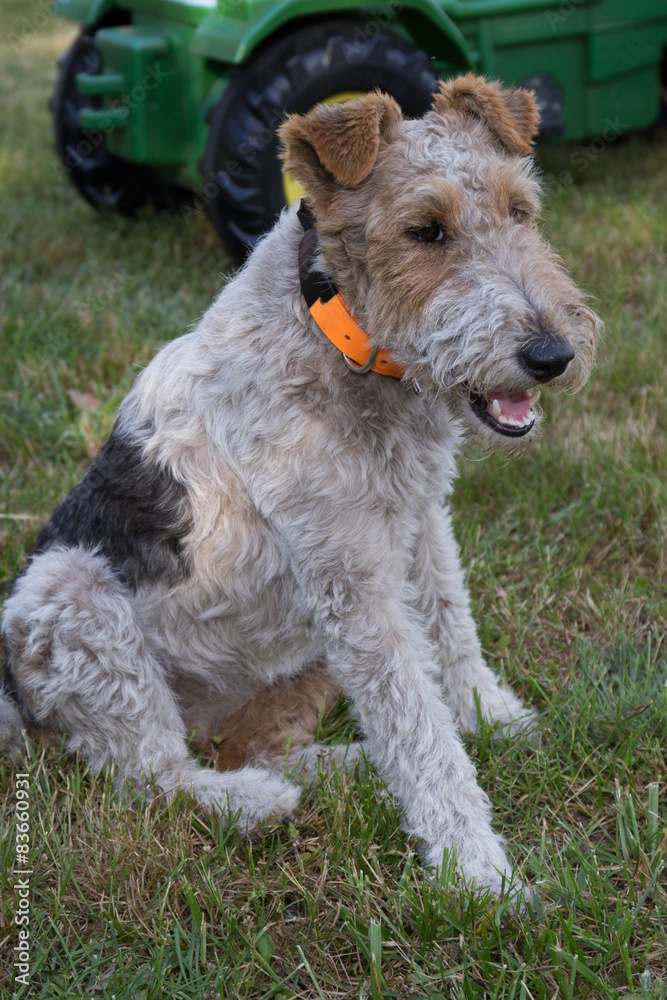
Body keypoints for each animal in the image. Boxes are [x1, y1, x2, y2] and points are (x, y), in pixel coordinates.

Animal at [1, 74, 600, 896]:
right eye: (425, 230)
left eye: (520, 210)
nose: (551, 354)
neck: (338, 332)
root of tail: (15, 703)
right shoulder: (354, 584)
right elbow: (419, 731)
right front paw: (479, 875)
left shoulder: (418, 523)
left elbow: (453, 630)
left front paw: (493, 719)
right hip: (74, 601)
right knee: (154, 776)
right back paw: (256, 804)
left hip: (297, 661)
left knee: (252, 747)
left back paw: (349, 770)